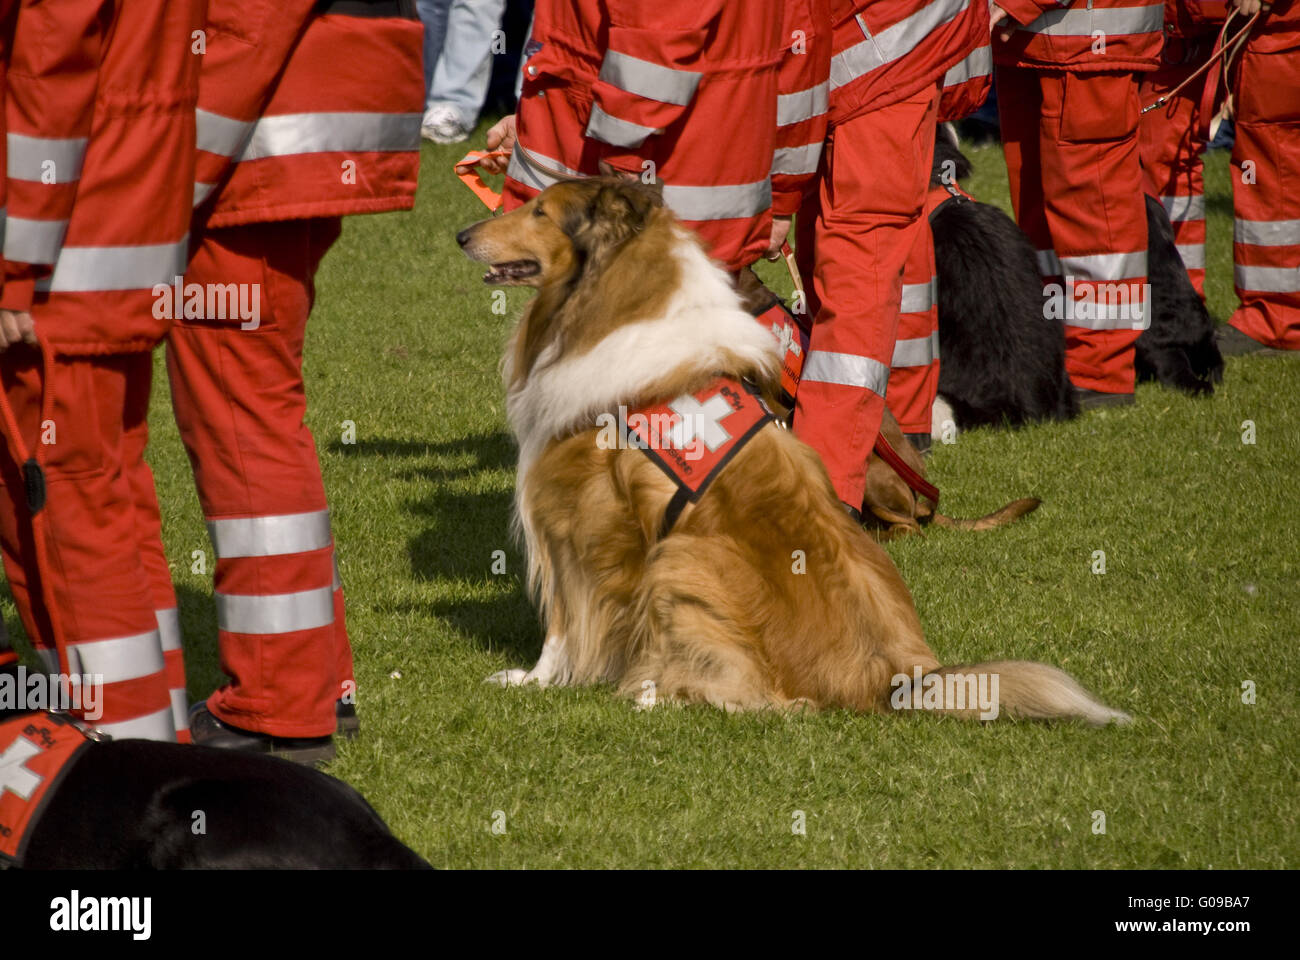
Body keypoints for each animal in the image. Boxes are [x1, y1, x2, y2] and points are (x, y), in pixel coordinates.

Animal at [457, 175, 1128, 723]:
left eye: (540, 211)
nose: (462, 233)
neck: (612, 300)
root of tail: (901, 680)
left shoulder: (580, 519)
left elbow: (564, 623)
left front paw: (536, 681)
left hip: (684, 555)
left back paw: (660, 692)